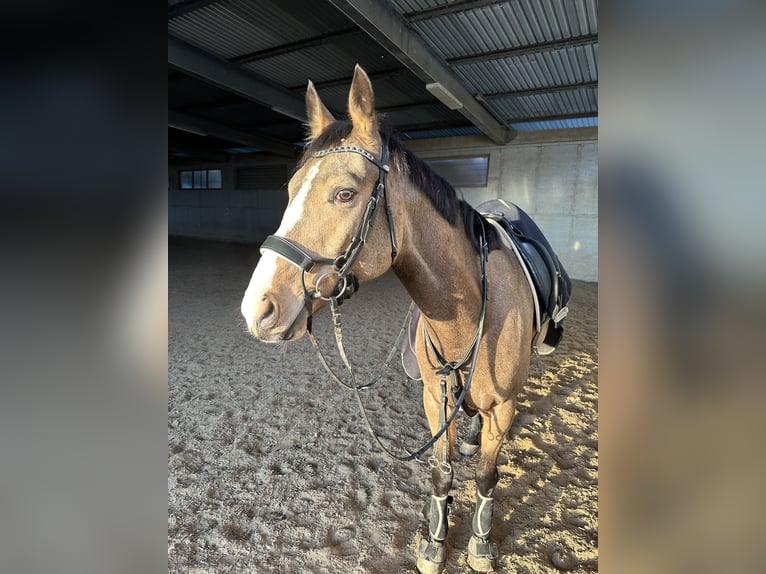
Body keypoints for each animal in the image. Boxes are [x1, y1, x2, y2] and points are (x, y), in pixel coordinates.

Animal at [243, 66, 572, 572]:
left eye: (344, 193)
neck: (471, 311)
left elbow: (487, 476)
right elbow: (442, 473)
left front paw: (480, 543)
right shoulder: (435, 399)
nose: (258, 308)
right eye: (291, 190)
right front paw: (435, 541)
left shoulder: (502, 405)